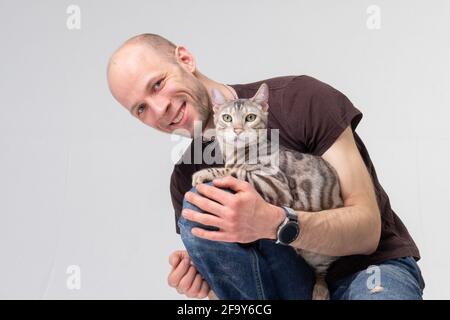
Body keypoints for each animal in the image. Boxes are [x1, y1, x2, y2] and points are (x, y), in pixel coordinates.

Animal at [192, 83, 342, 300]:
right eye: (227, 118)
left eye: (250, 117)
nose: (237, 130)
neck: (238, 153)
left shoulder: (275, 184)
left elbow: (235, 171)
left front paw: (205, 173)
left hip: (322, 254)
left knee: (322, 273)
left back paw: (320, 291)